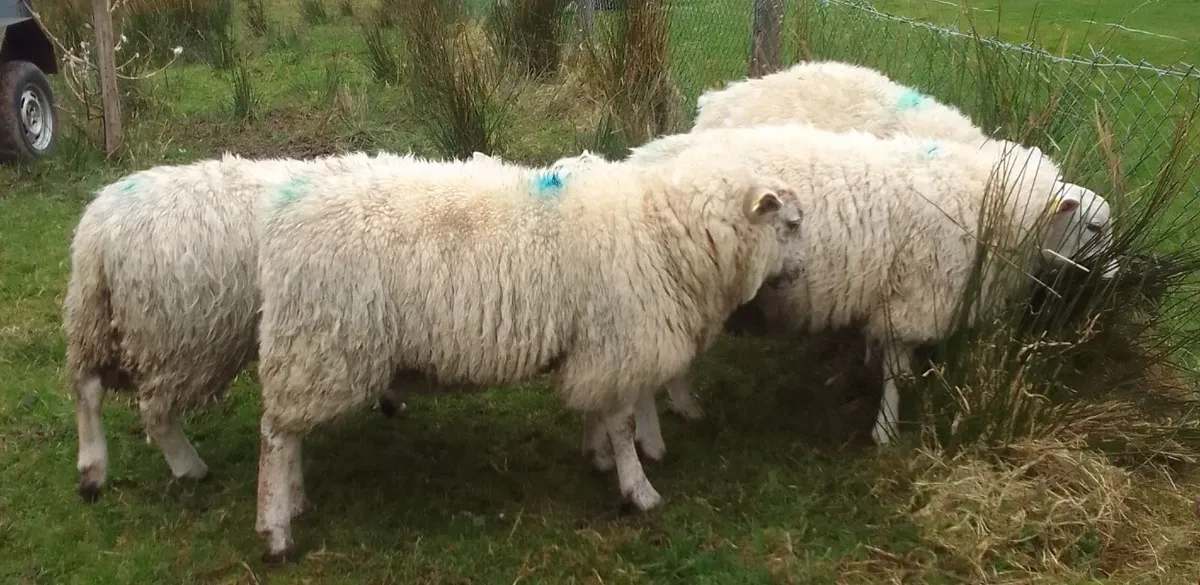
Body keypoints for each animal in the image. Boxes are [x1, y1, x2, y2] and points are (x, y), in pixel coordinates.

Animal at [64, 150, 435, 502]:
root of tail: (100, 229)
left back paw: (92, 472)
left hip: (97, 317)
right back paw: (189, 467)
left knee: (87, 387)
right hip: (183, 335)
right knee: (154, 411)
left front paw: (390, 397)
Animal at [251, 152, 805, 563]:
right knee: (276, 434)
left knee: (288, 431)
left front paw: (598, 456)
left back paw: (295, 502)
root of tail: (284, 218)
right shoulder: (616, 340)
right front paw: (639, 491)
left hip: (313, 349)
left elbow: (597, 411)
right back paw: (276, 529)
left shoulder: (596, 347)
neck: (666, 229)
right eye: (792, 223)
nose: (801, 273)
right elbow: (623, 424)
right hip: (324, 343)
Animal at [613, 123, 1115, 447]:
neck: (993, 201)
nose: (1113, 274)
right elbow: (895, 372)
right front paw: (886, 431)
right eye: (1093, 226)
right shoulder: (915, 296)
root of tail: (638, 159)